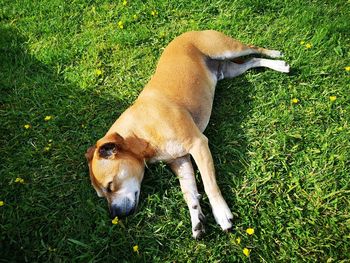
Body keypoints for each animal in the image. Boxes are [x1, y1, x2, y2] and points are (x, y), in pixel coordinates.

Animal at [85, 30, 290, 239]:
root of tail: (190, 32)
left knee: (253, 48)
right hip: (229, 70)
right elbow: (189, 191)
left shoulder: (198, 144)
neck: (139, 135)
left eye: (110, 186)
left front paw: (221, 212)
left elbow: (209, 184)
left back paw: (276, 55)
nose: (115, 215)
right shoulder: (180, 160)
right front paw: (196, 218)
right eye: (102, 195)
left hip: (227, 49)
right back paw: (279, 65)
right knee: (252, 61)